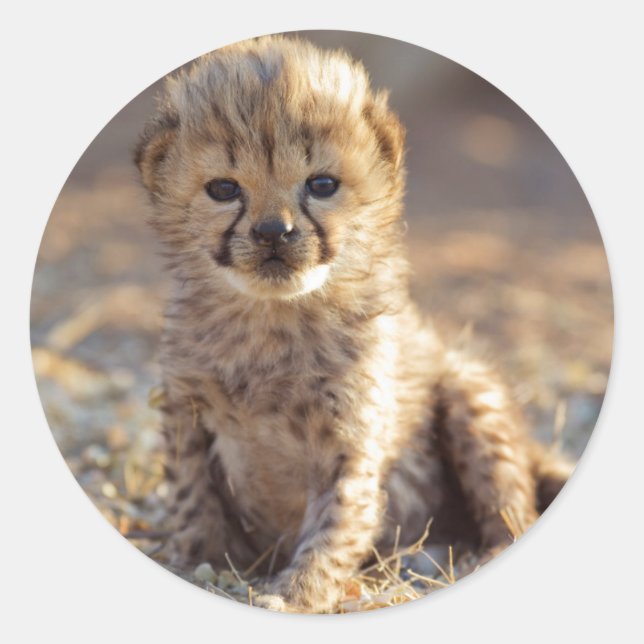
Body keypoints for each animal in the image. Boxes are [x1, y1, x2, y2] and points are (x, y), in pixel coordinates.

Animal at [134, 34, 573, 613]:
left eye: (321, 184)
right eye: (224, 189)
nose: (274, 232)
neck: (274, 321)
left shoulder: (350, 441)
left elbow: (336, 523)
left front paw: (295, 594)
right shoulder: (186, 412)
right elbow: (192, 500)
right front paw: (196, 563)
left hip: (469, 392)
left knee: (512, 506)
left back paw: (476, 555)